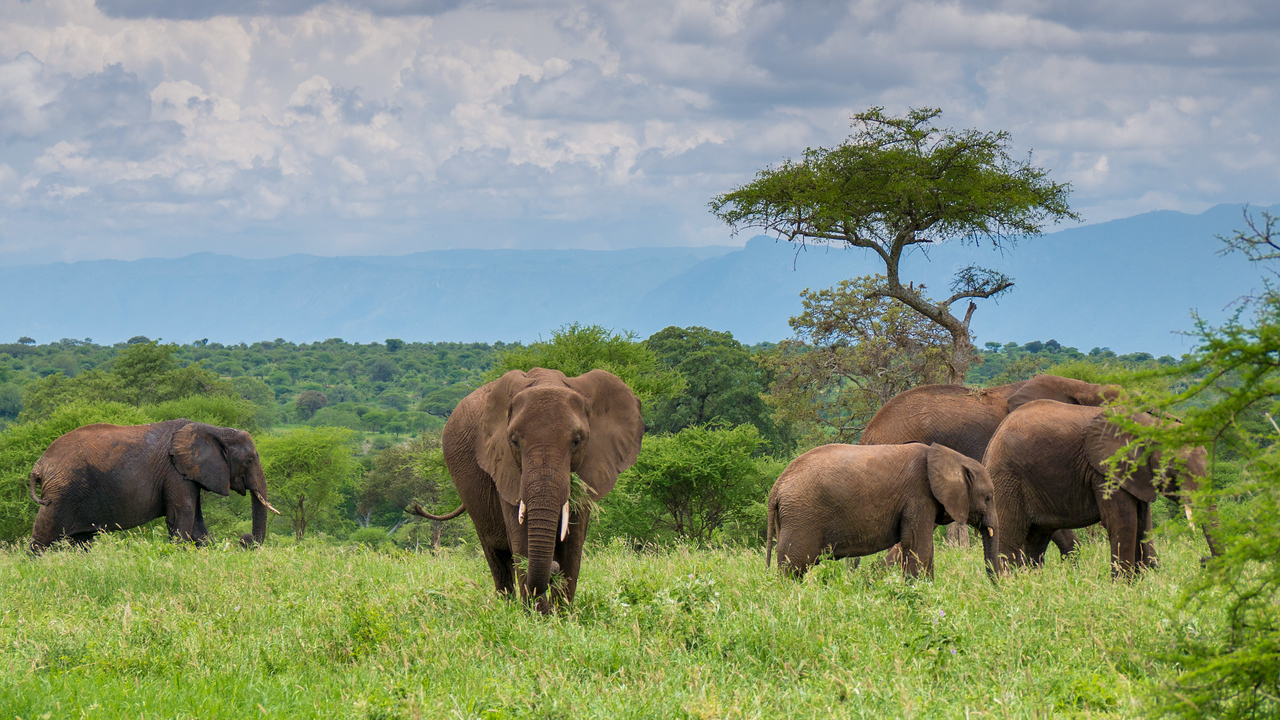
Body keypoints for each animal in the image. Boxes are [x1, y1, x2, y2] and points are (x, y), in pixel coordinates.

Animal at [28, 419, 280, 551]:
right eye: (249, 460)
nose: (244, 540)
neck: (214, 430)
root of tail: (39, 465)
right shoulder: (175, 472)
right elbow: (182, 516)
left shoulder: (187, 474)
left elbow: (196, 524)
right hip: (62, 492)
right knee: (43, 537)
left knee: (81, 541)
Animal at [434, 368, 644, 614]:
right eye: (514, 441)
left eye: (576, 441)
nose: (552, 568)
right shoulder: (504, 467)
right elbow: (521, 538)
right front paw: (537, 617)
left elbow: (572, 544)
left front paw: (562, 616)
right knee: (497, 559)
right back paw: (506, 608)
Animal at [766, 442, 999, 579]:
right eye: (988, 497)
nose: (997, 585)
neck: (950, 457)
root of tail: (776, 486)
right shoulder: (918, 498)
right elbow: (918, 547)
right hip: (801, 517)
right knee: (793, 566)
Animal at [984, 399, 1217, 579]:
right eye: (1177, 468)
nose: (1204, 561)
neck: (1151, 424)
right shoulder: (1105, 471)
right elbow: (1124, 521)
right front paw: (1124, 587)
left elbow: (1143, 523)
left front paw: (1142, 582)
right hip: (1008, 478)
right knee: (1010, 535)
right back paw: (1010, 586)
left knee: (1037, 539)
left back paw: (1033, 584)